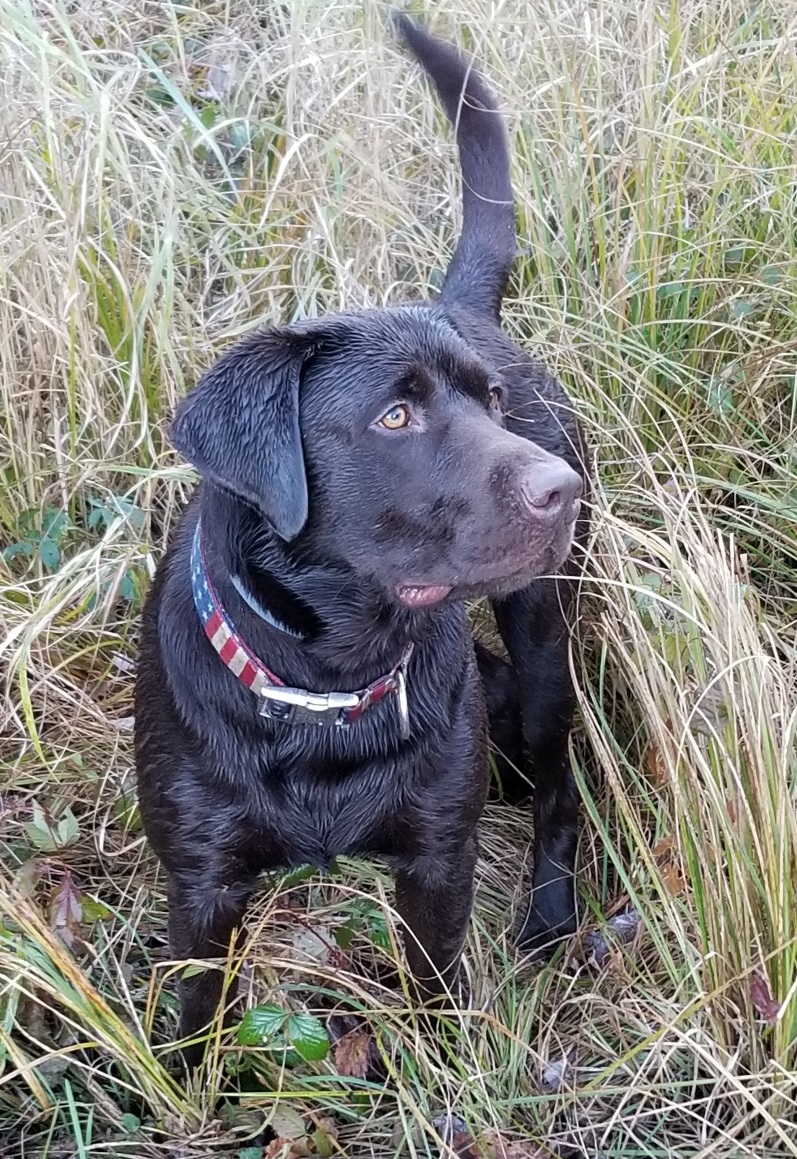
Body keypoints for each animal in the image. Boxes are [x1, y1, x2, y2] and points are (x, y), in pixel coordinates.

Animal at [133, 15, 588, 1066]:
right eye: (393, 417)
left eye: (489, 402)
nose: (561, 490)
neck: (329, 686)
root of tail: (457, 301)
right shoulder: (201, 882)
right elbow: (194, 1018)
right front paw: (183, 1086)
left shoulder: (436, 858)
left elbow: (431, 995)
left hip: (544, 642)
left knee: (557, 786)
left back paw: (551, 911)